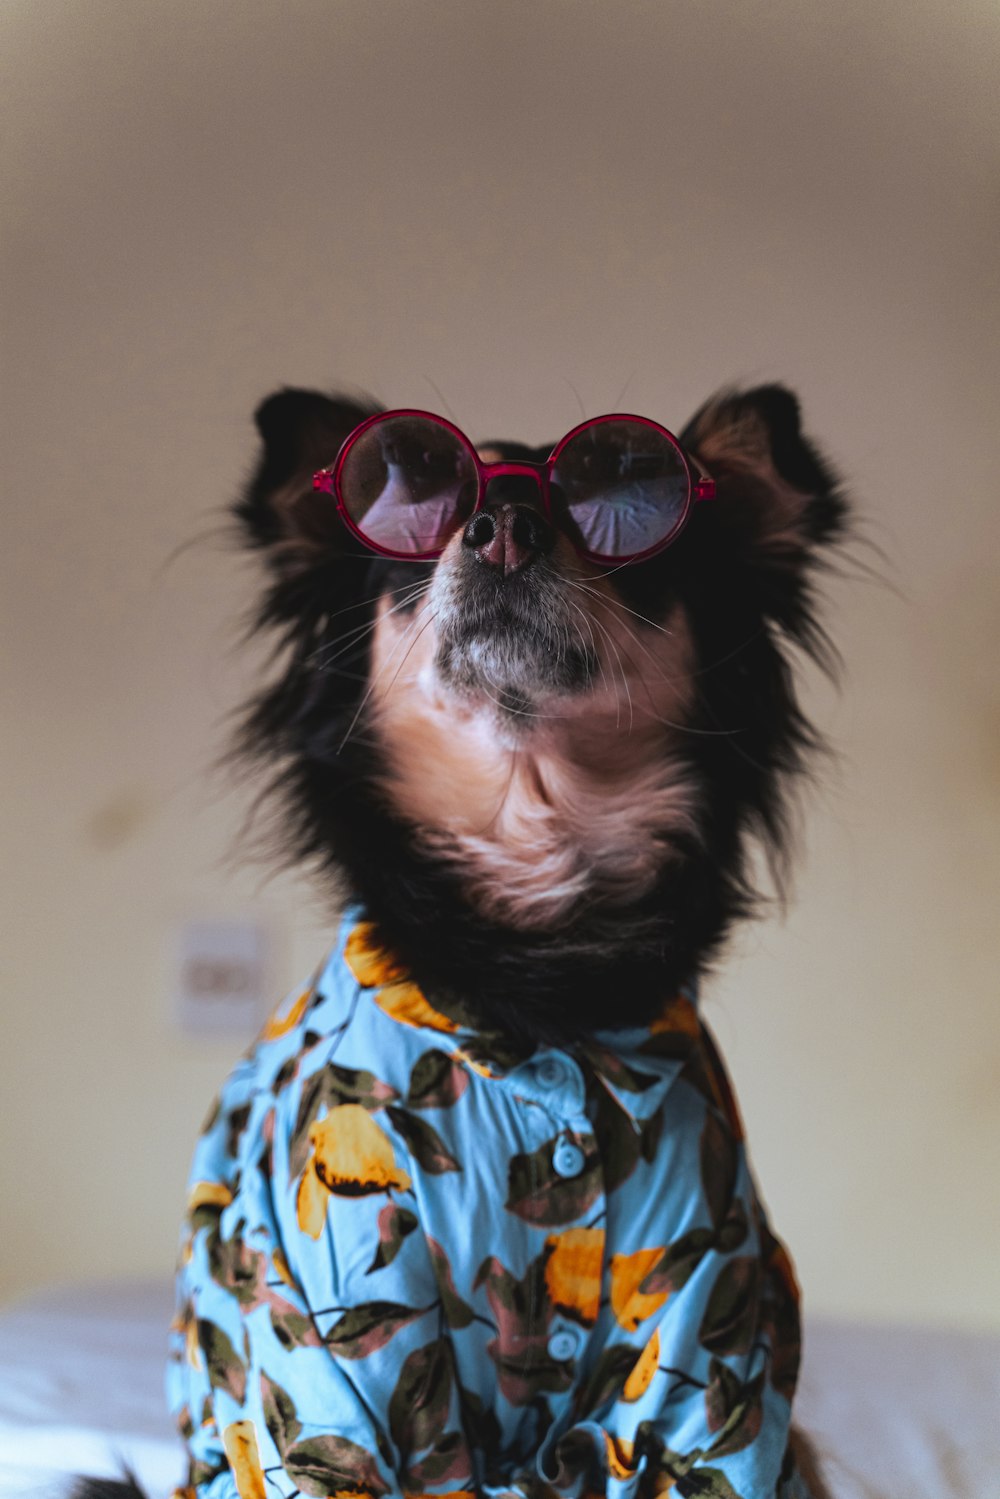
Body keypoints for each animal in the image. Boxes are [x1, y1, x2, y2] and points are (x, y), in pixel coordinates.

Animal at [76, 383, 845, 1499]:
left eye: (623, 502)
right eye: (421, 504)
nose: (505, 528)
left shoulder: (708, 1322)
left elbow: (693, 1440)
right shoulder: (332, 1335)